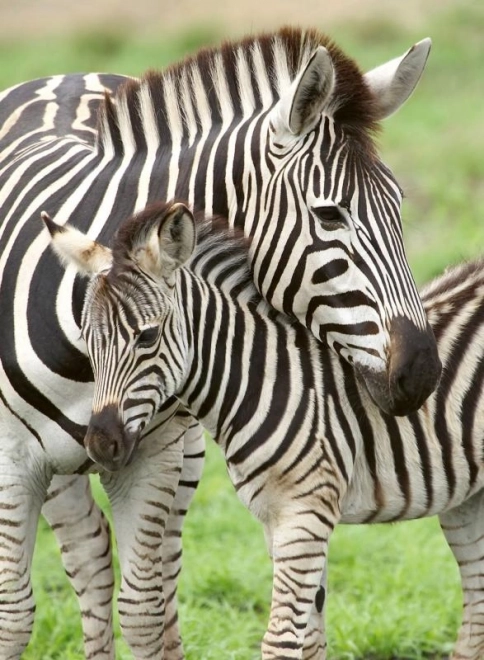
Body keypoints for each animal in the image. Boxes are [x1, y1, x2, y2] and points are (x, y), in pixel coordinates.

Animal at [0, 29, 438, 660]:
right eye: (330, 214)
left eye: (401, 206)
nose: (422, 371)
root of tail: (64, 75)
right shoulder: (12, 461)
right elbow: (12, 617)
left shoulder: (152, 455)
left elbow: (143, 613)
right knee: (88, 554)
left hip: (181, 453)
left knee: (137, 573)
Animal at [47, 201, 484, 660]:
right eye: (87, 339)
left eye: (147, 337)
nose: (101, 444)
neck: (266, 381)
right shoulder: (278, 519)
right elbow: (309, 640)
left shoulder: (305, 516)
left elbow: (281, 640)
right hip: (467, 500)